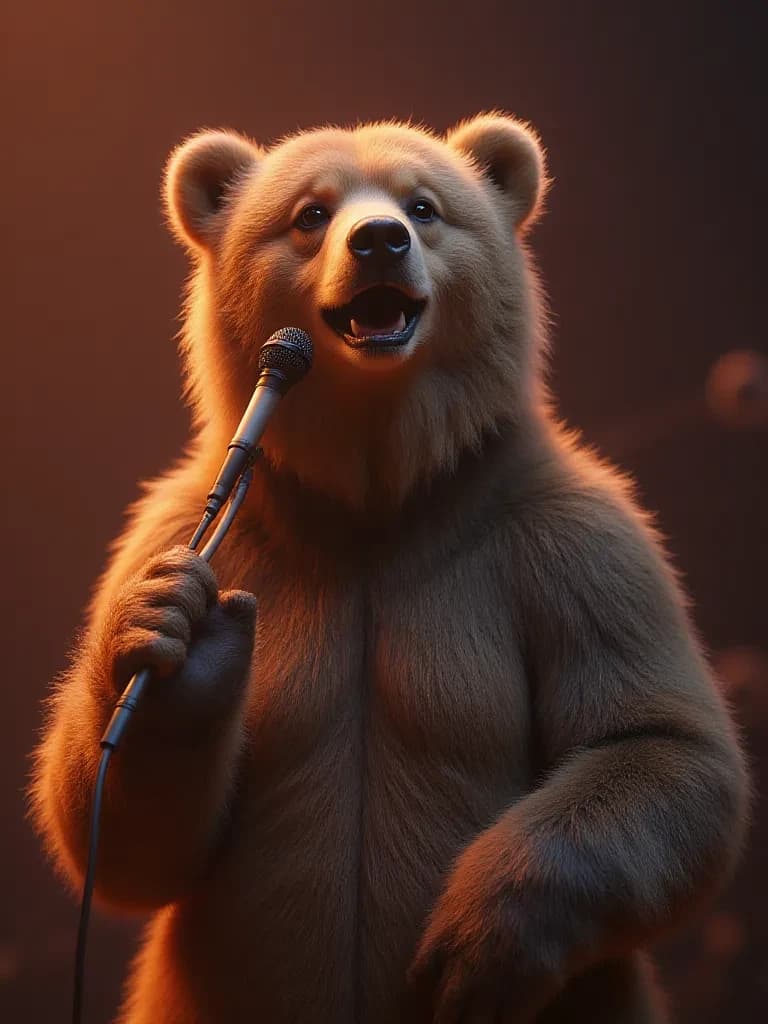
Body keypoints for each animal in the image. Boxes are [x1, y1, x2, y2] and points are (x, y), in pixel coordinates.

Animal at [30, 114, 749, 1023]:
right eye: (309, 213)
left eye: (425, 205)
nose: (378, 240)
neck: (376, 497)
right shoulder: (190, 532)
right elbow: (128, 836)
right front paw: (178, 640)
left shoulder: (570, 546)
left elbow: (660, 744)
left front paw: (478, 940)